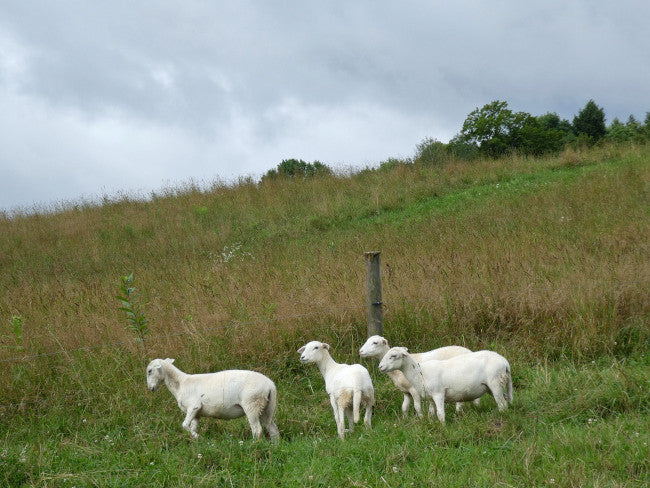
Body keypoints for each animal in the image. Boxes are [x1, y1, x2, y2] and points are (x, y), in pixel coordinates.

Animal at [146, 358, 278, 442]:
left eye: (149, 371)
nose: (150, 388)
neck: (180, 384)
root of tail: (270, 384)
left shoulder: (193, 406)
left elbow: (184, 425)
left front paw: (200, 438)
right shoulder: (197, 413)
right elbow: (191, 427)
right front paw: (196, 442)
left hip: (252, 404)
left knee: (257, 430)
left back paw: (253, 446)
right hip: (266, 407)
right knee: (272, 429)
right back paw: (275, 448)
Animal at [378, 346, 508, 424]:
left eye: (393, 356)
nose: (380, 367)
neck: (420, 372)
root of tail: (504, 361)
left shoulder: (438, 393)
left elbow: (440, 414)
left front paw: (443, 428)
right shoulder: (430, 397)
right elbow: (431, 413)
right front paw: (431, 423)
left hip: (495, 383)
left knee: (502, 405)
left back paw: (502, 417)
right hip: (492, 387)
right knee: (505, 401)